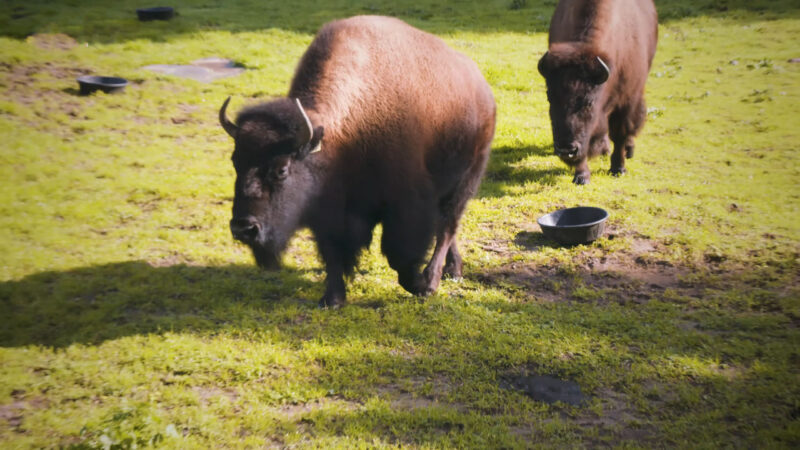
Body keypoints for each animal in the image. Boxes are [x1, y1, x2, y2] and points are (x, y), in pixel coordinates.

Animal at [217, 15, 494, 308]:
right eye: (235, 161)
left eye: (282, 170)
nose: (243, 228)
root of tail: (482, 86)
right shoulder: (329, 210)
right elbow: (332, 252)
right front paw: (332, 299)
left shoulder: (406, 204)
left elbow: (400, 256)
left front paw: (420, 286)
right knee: (447, 228)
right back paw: (454, 270)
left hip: (467, 179)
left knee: (447, 227)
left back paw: (433, 279)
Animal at [536, 0, 656, 185]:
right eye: (550, 98)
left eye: (588, 102)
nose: (565, 150)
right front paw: (582, 176)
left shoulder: (626, 101)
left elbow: (620, 134)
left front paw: (618, 169)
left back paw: (629, 149)